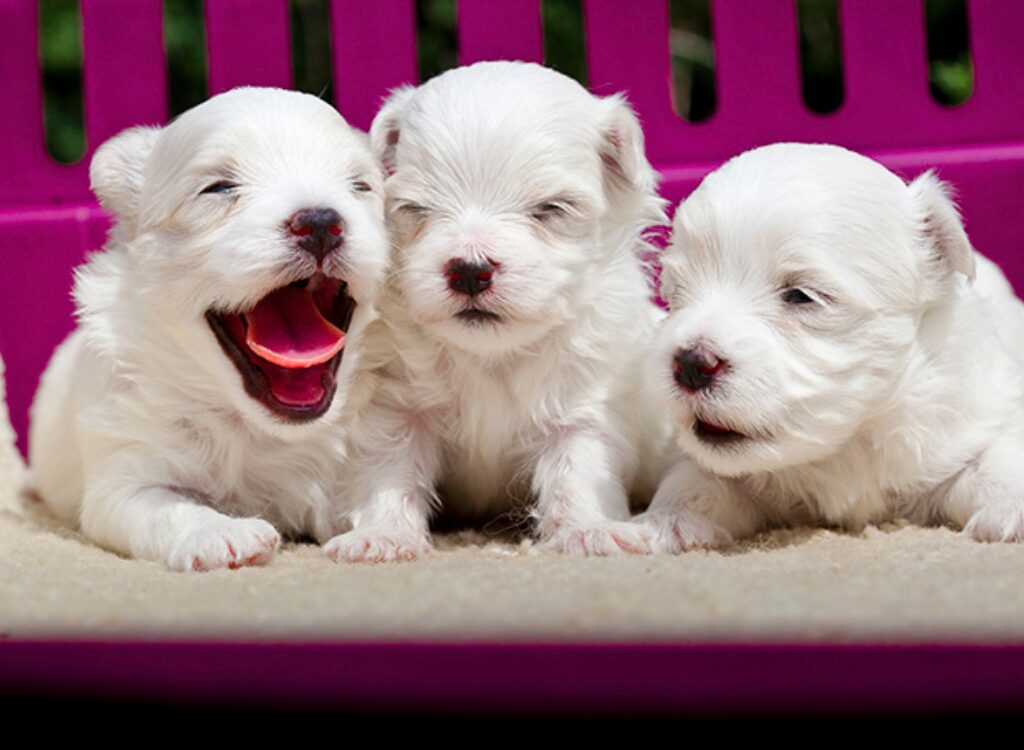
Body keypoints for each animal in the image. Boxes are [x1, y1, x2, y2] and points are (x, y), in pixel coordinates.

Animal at [29, 86, 387, 569]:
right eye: (218, 188)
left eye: (360, 186)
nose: (319, 222)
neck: (258, 430)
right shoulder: (122, 481)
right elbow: (168, 507)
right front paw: (222, 534)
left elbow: (381, 490)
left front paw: (382, 534)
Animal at [323, 61, 667, 561]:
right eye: (415, 209)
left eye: (551, 209)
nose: (469, 270)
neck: (492, 356)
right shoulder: (399, 409)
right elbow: (389, 472)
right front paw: (383, 534)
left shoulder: (583, 411)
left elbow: (578, 473)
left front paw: (591, 530)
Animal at [638, 143, 1024, 549]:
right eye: (676, 291)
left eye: (801, 295)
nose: (690, 364)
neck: (845, 445)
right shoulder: (711, 467)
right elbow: (694, 480)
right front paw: (666, 521)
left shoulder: (978, 416)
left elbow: (996, 460)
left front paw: (1012, 510)